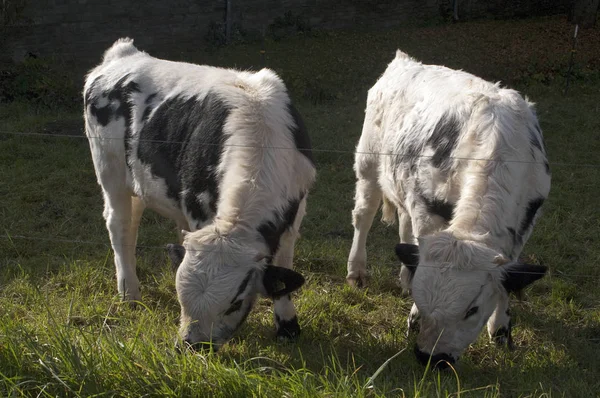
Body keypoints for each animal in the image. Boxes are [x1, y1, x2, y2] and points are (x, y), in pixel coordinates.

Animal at [85, 36, 318, 348]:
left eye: (235, 302)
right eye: (182, 297)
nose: (194, 345)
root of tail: (123, 54)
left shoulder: (294, 214)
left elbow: (283, 267)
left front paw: (288, 325)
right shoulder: (198, 211)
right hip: (109, 173)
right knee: (119, 226)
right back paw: (129, 293)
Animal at [344, 50, 552, 370]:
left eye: (472, 309)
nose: (432, 358)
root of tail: (404, 61)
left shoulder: (524, 221)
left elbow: (508, 275)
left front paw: (501, 331)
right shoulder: (427, 208)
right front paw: (414, 317)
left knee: (403, 226)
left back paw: (405, 277)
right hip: (367, 164)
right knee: (363, 217)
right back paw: (356, 272)